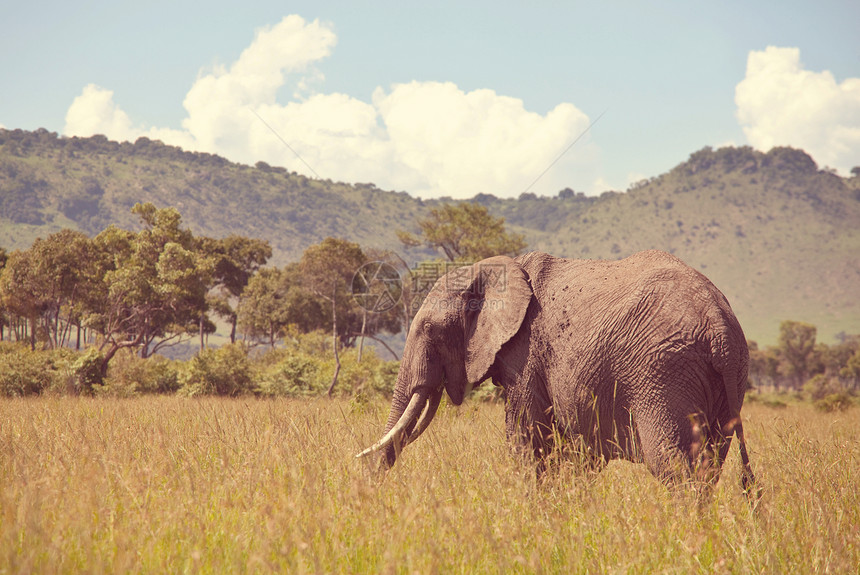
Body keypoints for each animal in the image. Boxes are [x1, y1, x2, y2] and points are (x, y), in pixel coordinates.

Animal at [360, 251, 756, 496]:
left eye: (429, 329)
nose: (367, 486)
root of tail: (718, 323)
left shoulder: (527, 354)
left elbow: (527, 441)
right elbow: (579, 455)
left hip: (664, 373)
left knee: (675, 468)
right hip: (727, 377)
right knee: (709, 467)